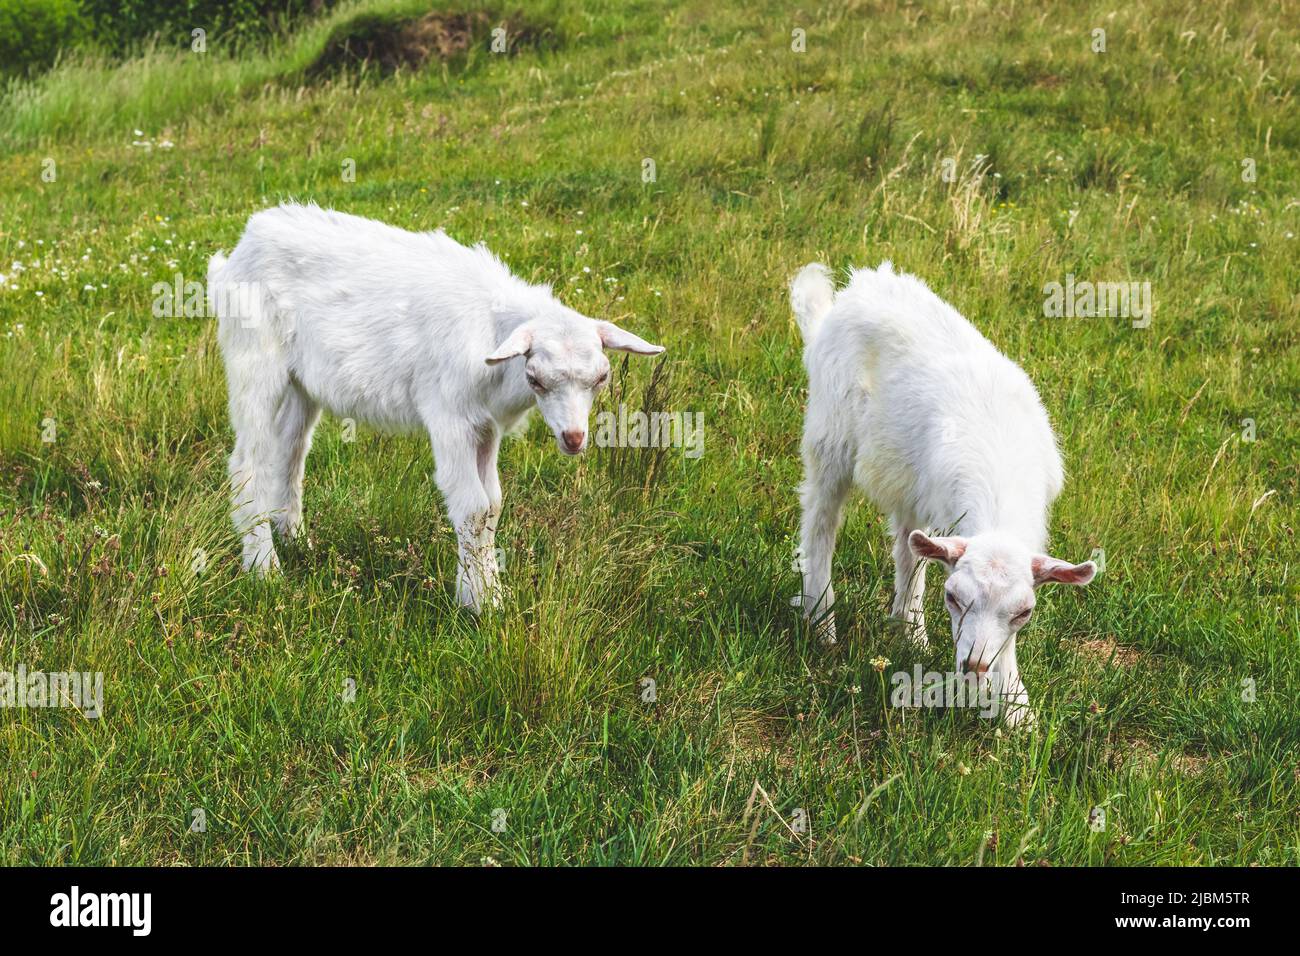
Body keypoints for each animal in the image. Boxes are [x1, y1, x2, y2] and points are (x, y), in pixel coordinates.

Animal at [214, 202, 665, 608]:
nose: (573, 438)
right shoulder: (450, 417)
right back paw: (264, 569)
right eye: (535, 378)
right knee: (248, 463)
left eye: (601, 378)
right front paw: (481, 606)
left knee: (289, 451)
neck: (491, 332)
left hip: (301, 384)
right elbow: (472, 506)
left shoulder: (486, 426)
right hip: (254, 360)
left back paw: (293, 539)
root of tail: (247, 238)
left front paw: (486, 591)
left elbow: (492, 504)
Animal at [790, 260, 1097, 723]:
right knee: (820, 522)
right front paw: (1014, 706)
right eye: (952, 597)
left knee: (907, 547)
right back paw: (822, 621)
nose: (974, 666)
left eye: (1024, 612)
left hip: (909, 481)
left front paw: (1017, 712)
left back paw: (909, 631)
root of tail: (854, 290)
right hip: (831, 433)